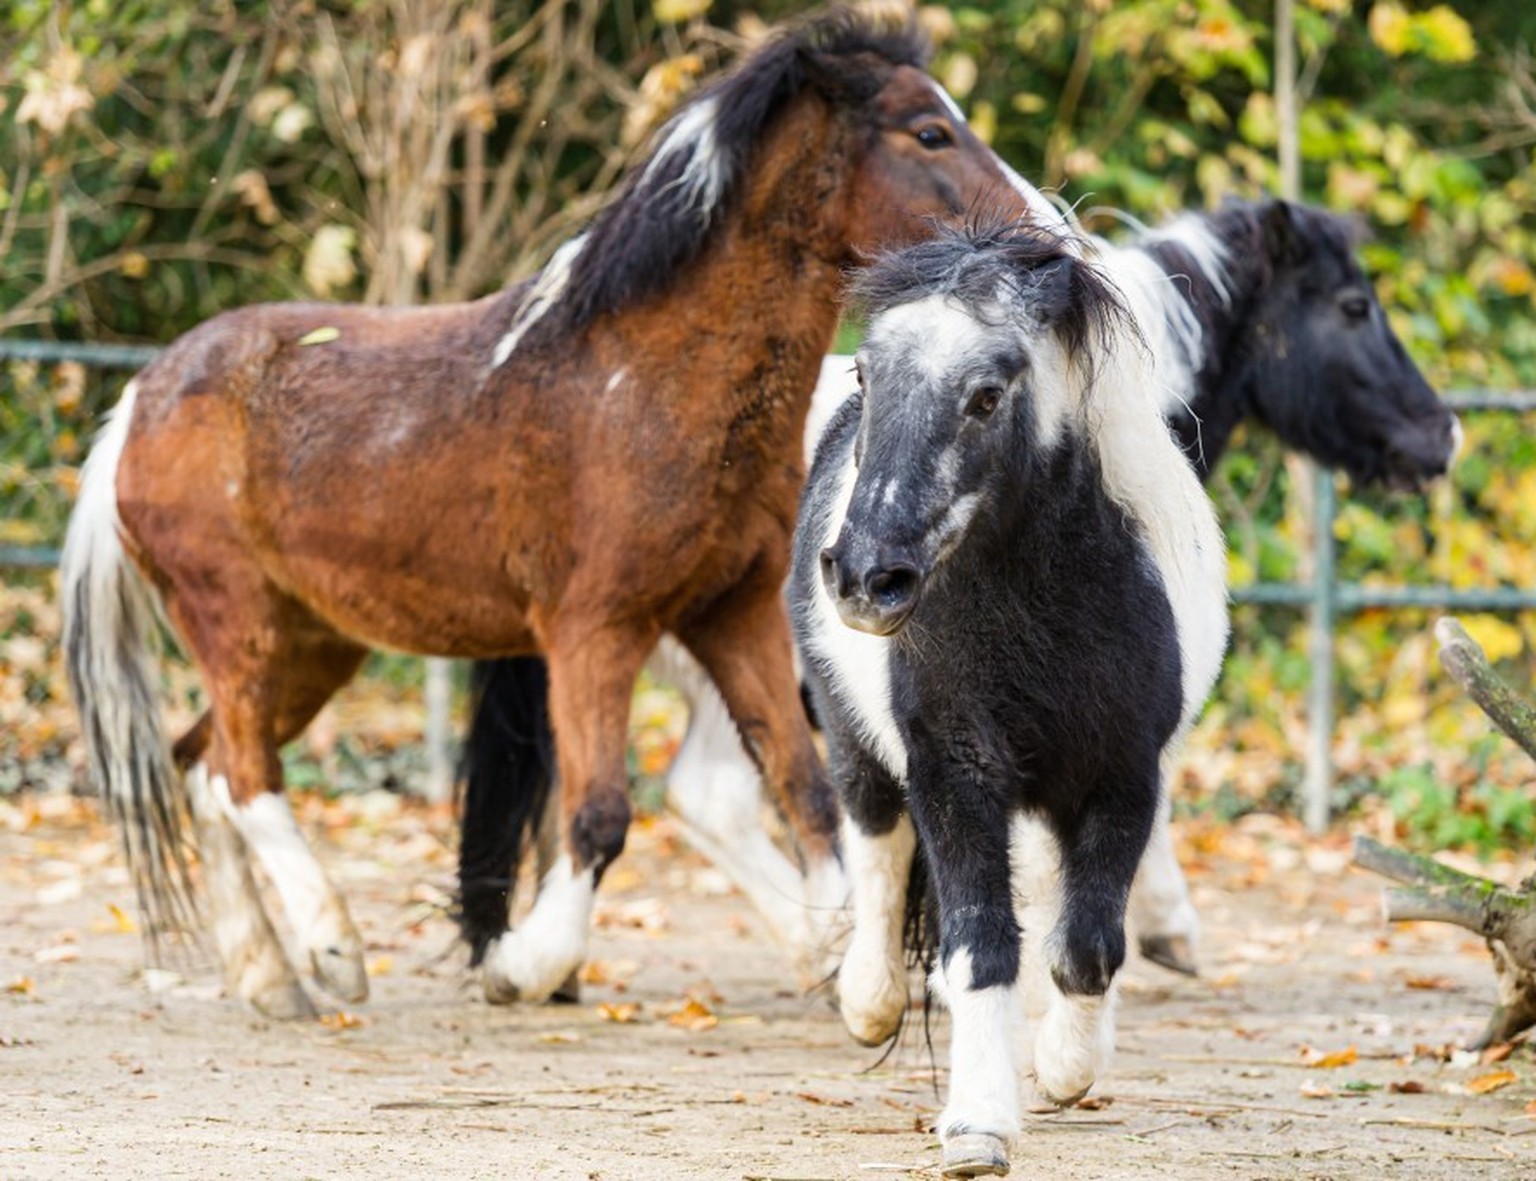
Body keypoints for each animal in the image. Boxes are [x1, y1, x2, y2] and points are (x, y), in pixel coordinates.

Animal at [62, 6, 1069, 1013]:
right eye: (928, 132)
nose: (1050, 244)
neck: (646, 383)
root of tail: (137, 405)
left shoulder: (735, 616)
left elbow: (806, 791)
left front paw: (844, 965)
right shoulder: (594, 630)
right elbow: (598, 816)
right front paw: (522, 963)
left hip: (314, 645)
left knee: (201, 767)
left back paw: (271, 979)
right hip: (235, 620)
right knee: (241, 773)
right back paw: (333, 947)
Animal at [792, 218, 1222, 1167]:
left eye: (987, 396)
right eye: (868, 375)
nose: (866, 576)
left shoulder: (1123, 776)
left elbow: (1088, 944)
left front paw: (1065, 1068)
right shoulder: (955, 773)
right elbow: (981, 942)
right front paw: (979, 1124)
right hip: (855, 745)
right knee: (876, 850)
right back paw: (868, 1000)